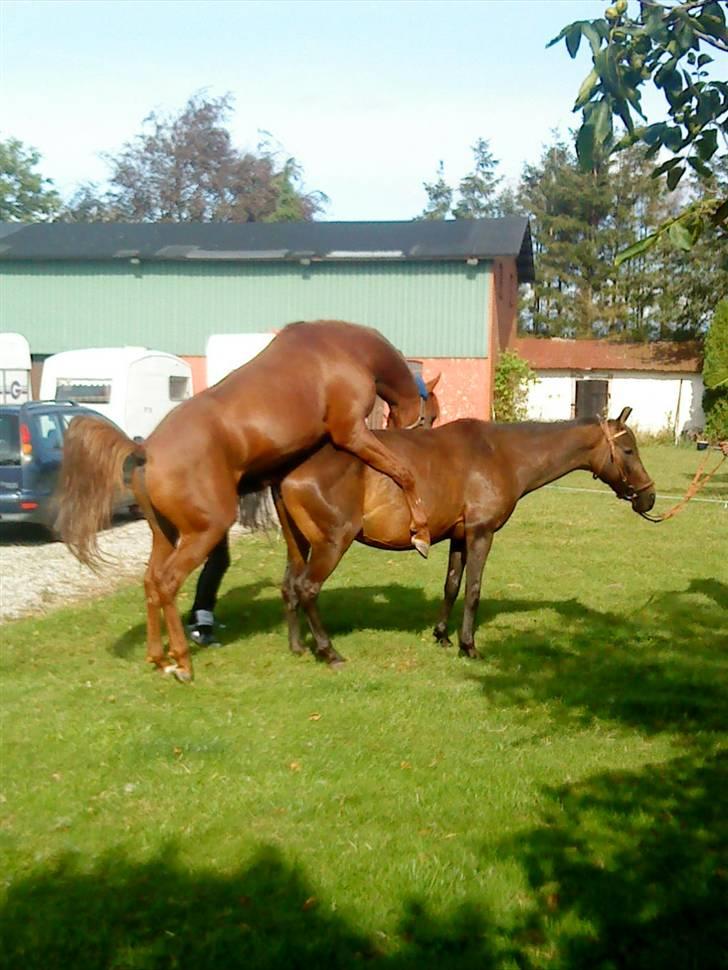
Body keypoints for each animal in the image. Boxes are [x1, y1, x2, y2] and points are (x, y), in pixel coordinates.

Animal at [55, 320, 438, 680]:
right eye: (431, 415)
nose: (423, 438)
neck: (344, 349)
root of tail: (144, 451)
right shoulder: (352, 433)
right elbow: (403, 472)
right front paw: (419, 532)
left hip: (165, 535)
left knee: (151, 582)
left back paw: (159, 659)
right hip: (204, 532)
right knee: (167, 583)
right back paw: (183, 662)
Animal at [274, 404, 660, 660]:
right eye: (628, 450)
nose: (649, 496)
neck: (502, 454)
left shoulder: (459, 537)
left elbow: (452, 585)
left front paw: (443, 636)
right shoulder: (480, 534)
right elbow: (473, 589)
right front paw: (468, 645)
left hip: (299, 545)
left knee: (290, 587)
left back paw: (296, 646)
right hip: (331, 544)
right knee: (308, 589)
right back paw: (328, 651)